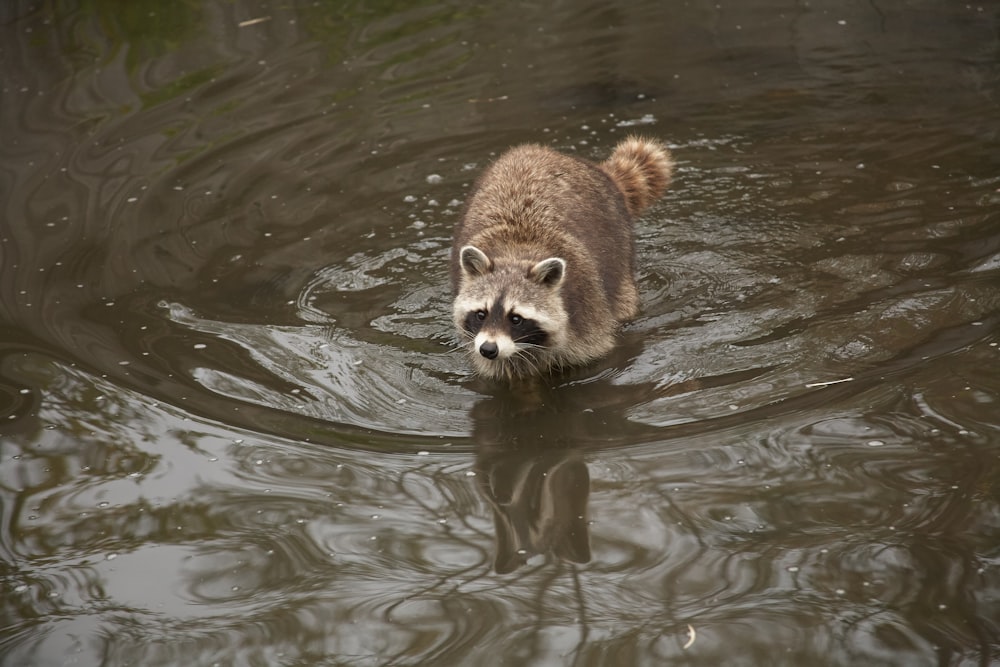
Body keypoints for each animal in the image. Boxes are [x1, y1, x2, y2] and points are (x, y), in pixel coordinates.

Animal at [452, 136, 672, 380]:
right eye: (481, 314)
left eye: (516, 318)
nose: (488, 349)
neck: (516, 253)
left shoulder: (587, 312)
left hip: (620, 252)